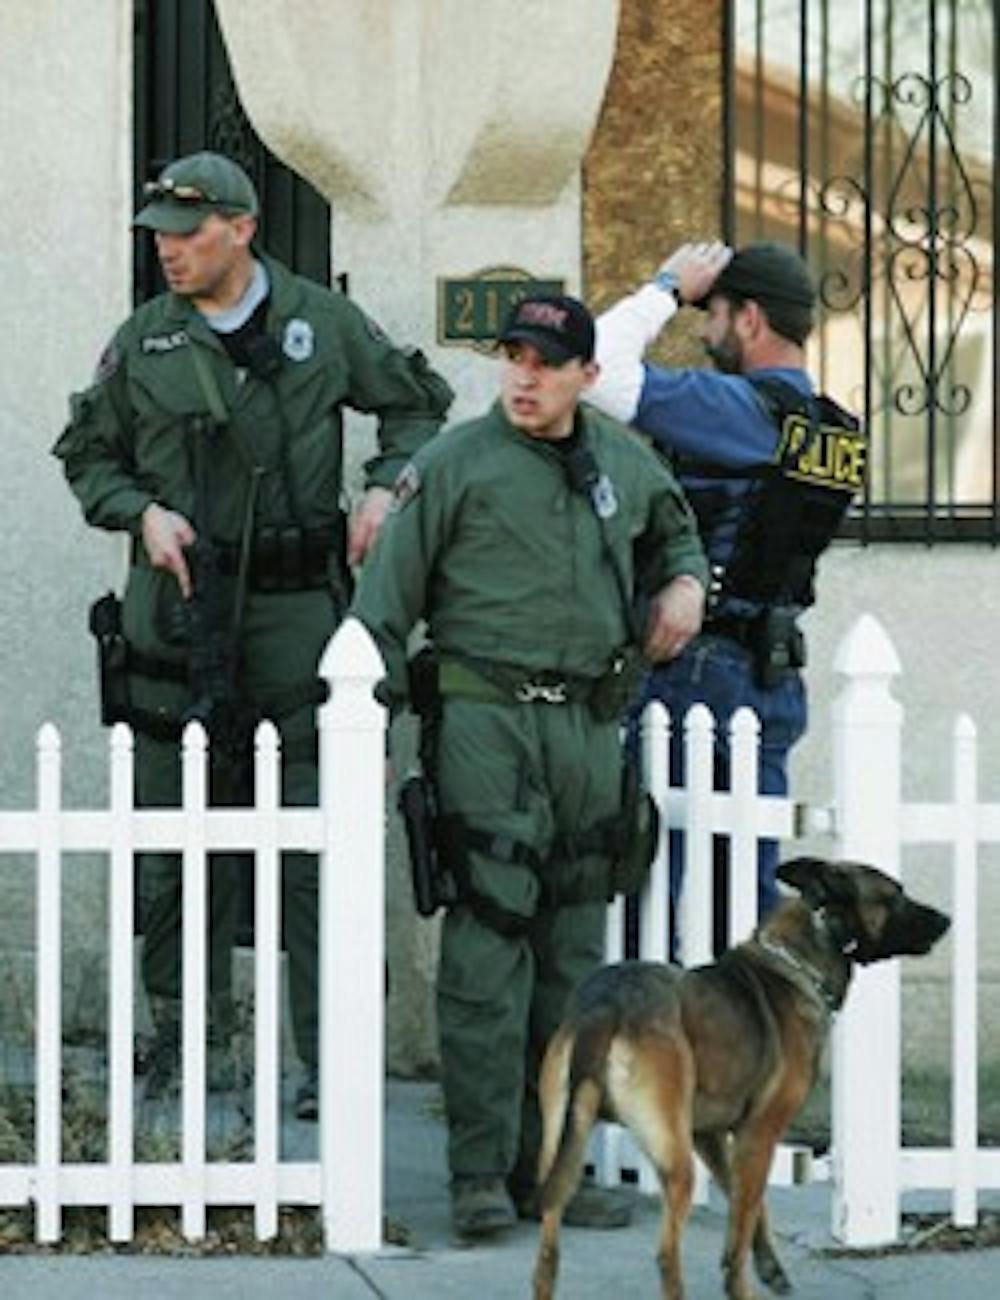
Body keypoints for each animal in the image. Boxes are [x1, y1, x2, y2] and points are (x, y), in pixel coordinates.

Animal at [530, 857, 946, 1300]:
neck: (799, 959)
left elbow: (744, 1203)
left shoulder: (711, 1137)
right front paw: (743, 1282)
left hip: (562, 1146)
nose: (947, 920)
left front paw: (770, 1266)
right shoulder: (759, 1135)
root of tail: (607, 1002)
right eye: (893, 896)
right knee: (666, 1255)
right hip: (677, 1165)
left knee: (547, 1256)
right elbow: (742, 1224)